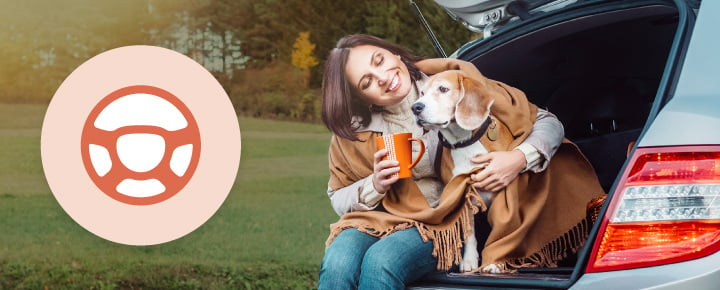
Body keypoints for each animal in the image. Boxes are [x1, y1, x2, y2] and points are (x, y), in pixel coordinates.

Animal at [410, 70, 500, 274]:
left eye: (443, 89)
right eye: (422, 93)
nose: (415, 107)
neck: (464, 142)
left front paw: (496, 261)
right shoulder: (463, 195)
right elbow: (469, 234)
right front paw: (469, 261)